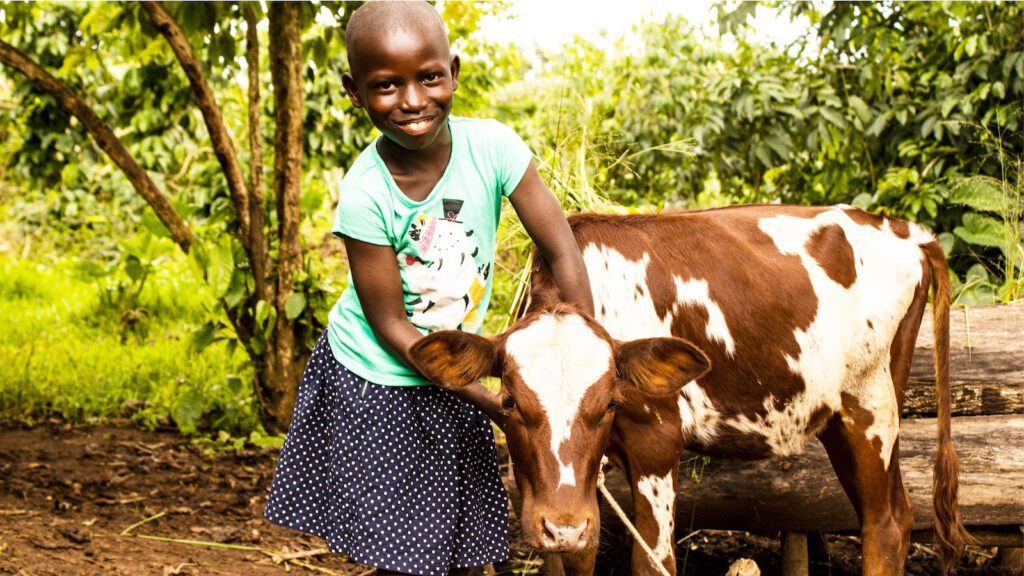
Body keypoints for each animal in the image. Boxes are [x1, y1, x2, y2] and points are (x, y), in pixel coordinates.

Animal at [405, 204, 966, 573]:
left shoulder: (655, 442)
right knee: (890, 515)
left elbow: (652, 560)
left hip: (871, 407)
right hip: (839, 418)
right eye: (509, 403)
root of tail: (907, 232)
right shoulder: (568, 496)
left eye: (610, 401)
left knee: (885, 525)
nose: (560, 525)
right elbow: (577, 554)